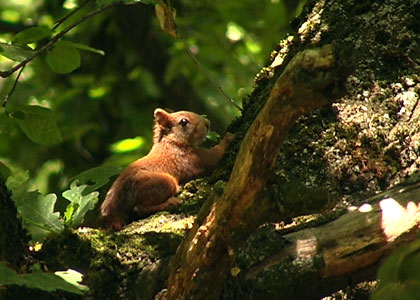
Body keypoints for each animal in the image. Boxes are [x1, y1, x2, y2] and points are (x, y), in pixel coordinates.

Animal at [100, 108, 235, 230]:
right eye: (184, 122)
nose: (208, 123)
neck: (172, 142)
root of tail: (111, 210)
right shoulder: (193, 159)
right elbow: (213, 157)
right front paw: (227, 139)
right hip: (162, 182)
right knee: (139, 208)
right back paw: (170, 202)